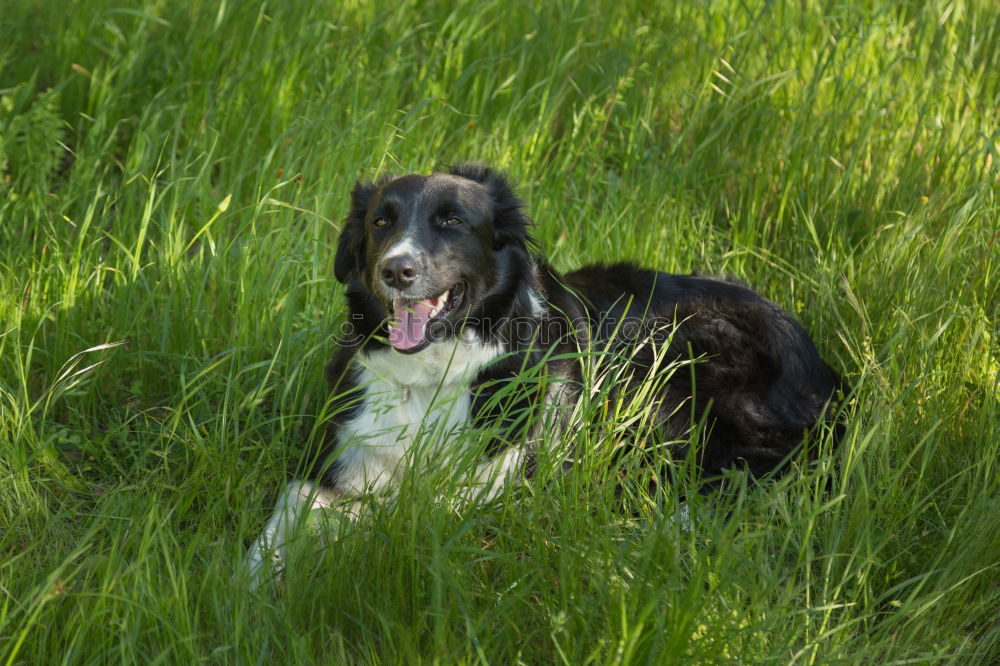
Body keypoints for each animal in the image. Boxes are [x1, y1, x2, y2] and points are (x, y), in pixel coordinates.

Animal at [248, 162, 844, 580]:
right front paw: (253, 586)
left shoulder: (498, 484)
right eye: (380, 222)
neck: (433, 376)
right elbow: (286, 517)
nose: (397, 270)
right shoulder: (339, 459)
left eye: (451, 221)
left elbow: (401, 518)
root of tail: (823, 371)